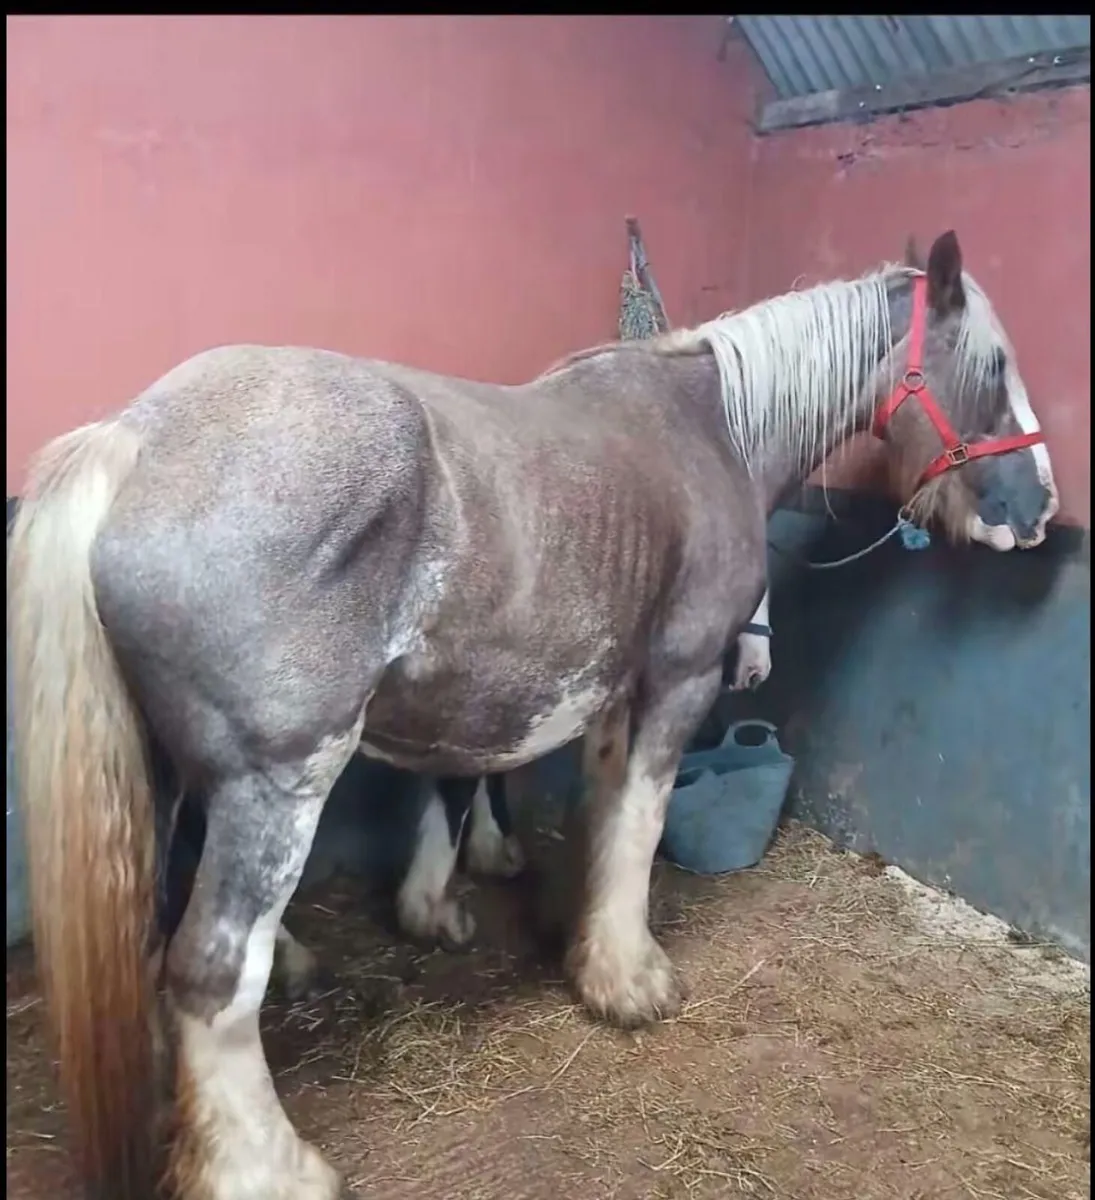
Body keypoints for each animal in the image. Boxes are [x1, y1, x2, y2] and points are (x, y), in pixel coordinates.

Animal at [8, 230, 1057, 1200]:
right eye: (994, 366)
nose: (1038, 507)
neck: (709, 426)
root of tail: (132, 438)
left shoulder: (608, 691)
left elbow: (598, 813)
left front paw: (567, 929)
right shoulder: (676, 680)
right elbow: (639, 821)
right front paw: (628, 981)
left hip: (173, 774)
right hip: (276, 782)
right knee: (211, 974)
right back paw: (268, 1167)